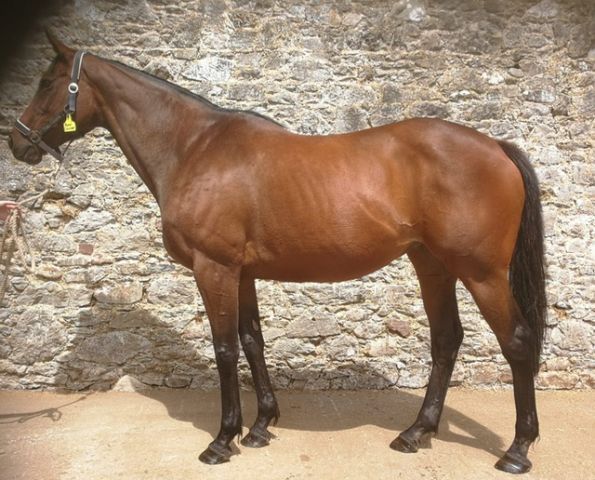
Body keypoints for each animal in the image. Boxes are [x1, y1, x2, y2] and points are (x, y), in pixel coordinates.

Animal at [7, 33, 548, 472]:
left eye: (46, 82)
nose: (16, 141)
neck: (194, 149)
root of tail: (496, 146)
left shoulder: (214, 269)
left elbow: (224, 348)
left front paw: (223, 440)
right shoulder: (242, 272)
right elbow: (252, 341)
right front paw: (261, 426)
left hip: (481, 273)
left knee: (517, 342)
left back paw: (517, 450)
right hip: (432, 265)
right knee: (446, 340)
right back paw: (417, 433)